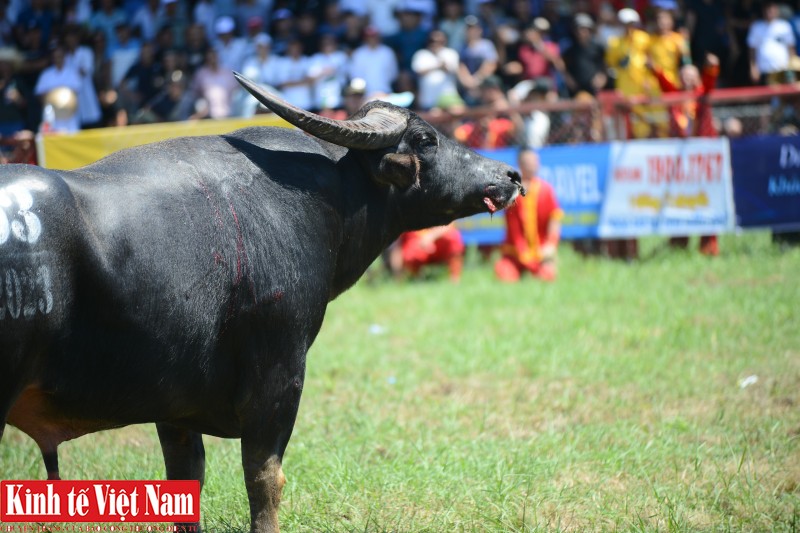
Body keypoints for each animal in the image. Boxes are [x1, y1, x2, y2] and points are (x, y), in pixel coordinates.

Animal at [0, 72, 524, 528]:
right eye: (425, 139)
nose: (512, 174)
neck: (330, 195)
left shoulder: (173, 403)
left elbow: (186, 479)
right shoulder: (279, 375)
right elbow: (264, 478)